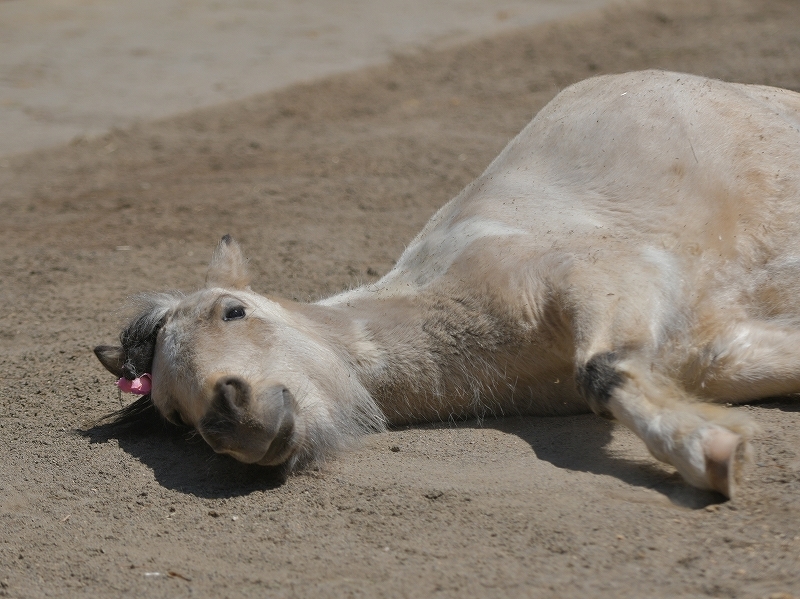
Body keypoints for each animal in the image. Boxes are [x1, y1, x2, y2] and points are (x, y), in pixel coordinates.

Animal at [95, 70, 800, 500]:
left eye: (234, 311)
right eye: (174, 414)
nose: (228, 415)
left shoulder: (608, 278)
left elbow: (602, 371)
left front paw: (712, 452)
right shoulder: (721, 351)